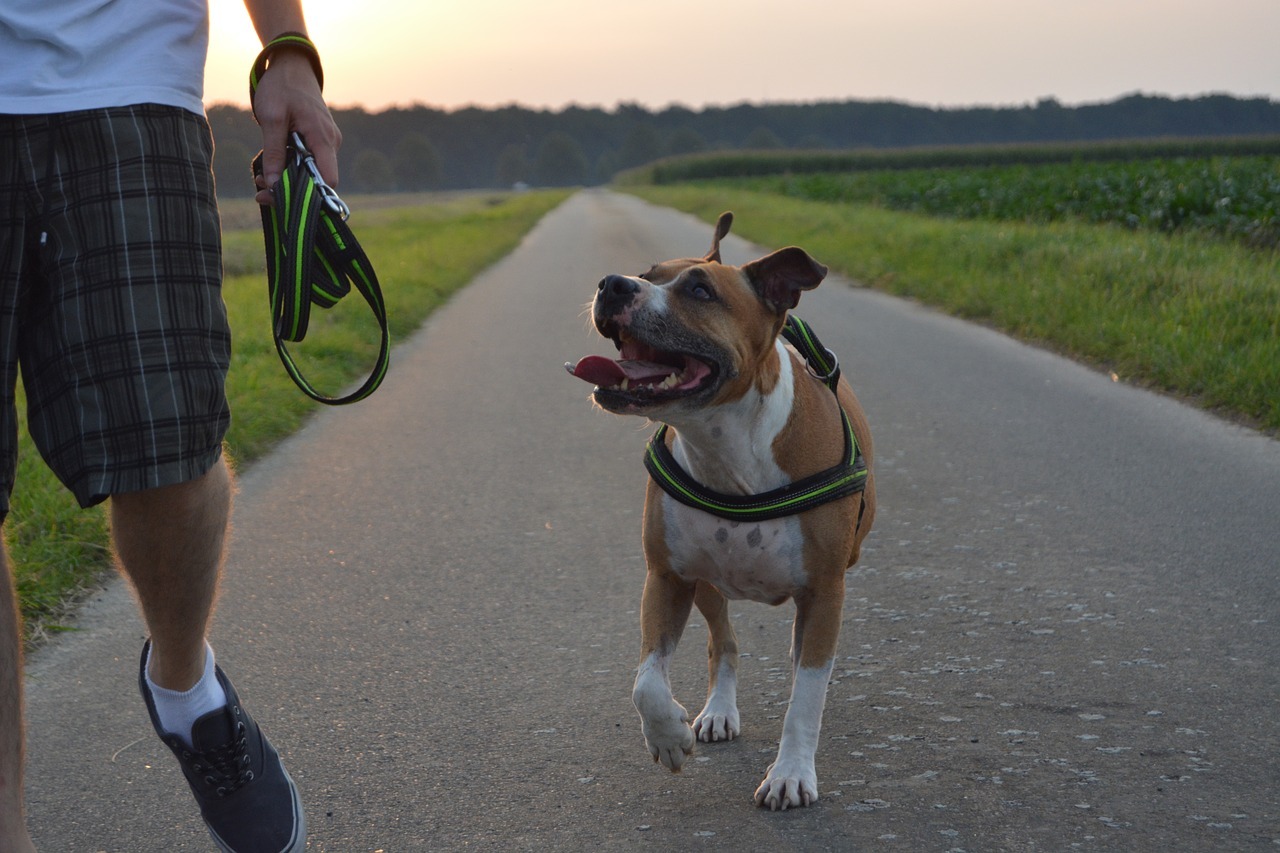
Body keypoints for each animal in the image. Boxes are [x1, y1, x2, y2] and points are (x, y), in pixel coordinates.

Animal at [573, 211, 880, 804]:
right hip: (709, 584)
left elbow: (806, 696)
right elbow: (646, 681)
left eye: (700, 290)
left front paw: (790, 774)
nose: (613, 284)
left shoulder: (824, 591)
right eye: (646, 273)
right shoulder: (667, 576)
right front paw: (668, 736)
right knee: (724, 643)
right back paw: (718, 712)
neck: (727, 446)